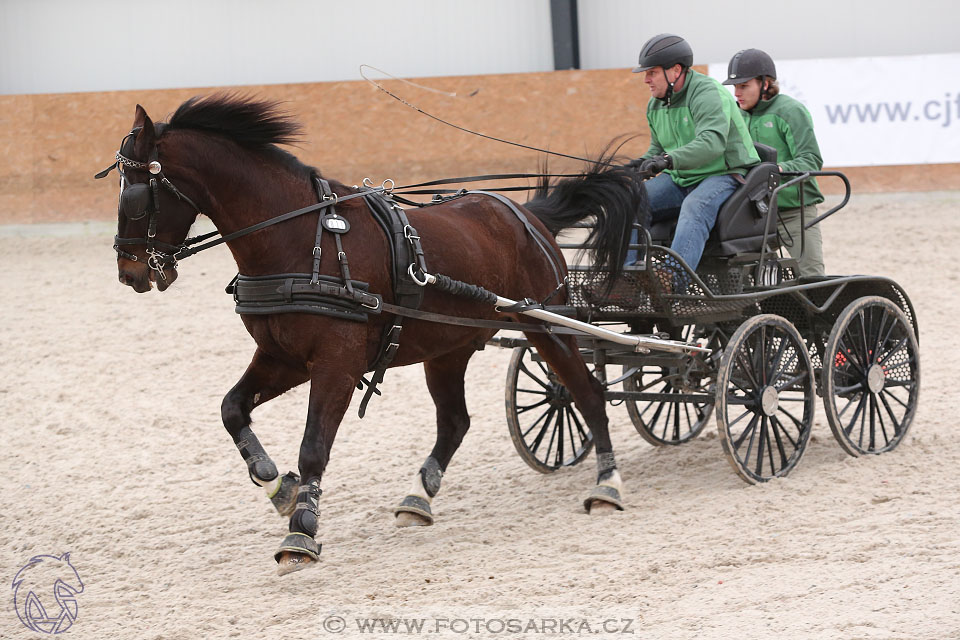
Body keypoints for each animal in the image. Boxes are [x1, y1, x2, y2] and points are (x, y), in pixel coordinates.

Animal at [103, 94, 644, 576]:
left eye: (134, 194)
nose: (130, 273)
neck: (301, 240)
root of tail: (526, 214)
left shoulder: (337, 365)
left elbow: (314, 445)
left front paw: (301, 531)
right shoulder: (281, 358)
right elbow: (232, 409)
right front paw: (280, 489)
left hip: (549, 328)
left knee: (588, 394)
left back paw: (608, 485)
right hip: (447, 348)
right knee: (455, 421)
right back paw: (419, 498)